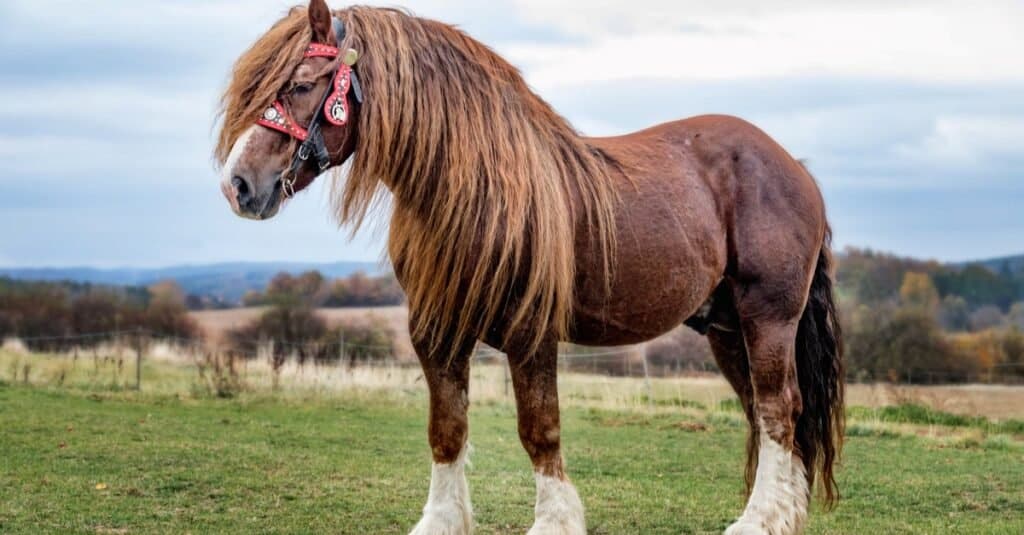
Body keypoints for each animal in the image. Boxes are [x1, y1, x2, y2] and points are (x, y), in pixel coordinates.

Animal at [214, 2, 839, 528]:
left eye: (301, 84)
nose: (237, 185)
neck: (473, 189)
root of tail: (794, 167)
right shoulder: (435, 334)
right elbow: (447, 431)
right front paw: (441, 522)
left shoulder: (531, 333)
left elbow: (540, 431)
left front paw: (554, 522)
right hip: (726, 328)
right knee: (765, 412)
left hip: (768, 318)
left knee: (779, 411)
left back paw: (758, 522)